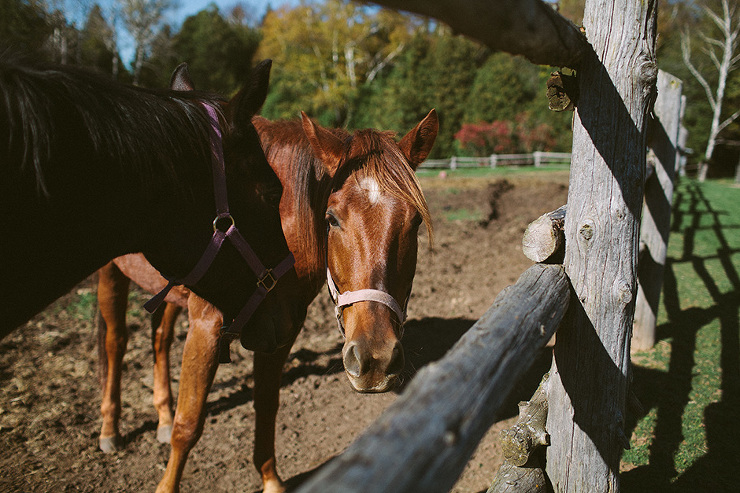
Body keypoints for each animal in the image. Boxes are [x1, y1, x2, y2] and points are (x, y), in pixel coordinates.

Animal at [95, 66, 436, 492]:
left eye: (415, 222)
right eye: (331, 219)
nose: (374, 357)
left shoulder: (283, 329)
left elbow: (267, 407)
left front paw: (271, 480)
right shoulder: (207, 325)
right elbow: (189, 425)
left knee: (159, 341)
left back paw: (159, 416)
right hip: (111, 275)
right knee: (116, 343)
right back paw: (110, 429)